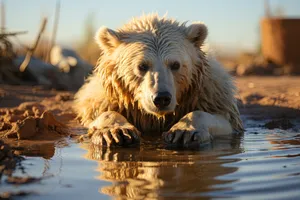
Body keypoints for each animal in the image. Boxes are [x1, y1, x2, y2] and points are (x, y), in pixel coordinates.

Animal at [74, 13, 244, 147]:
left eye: (175, 64)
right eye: (142, 65)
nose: (161, 98)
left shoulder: (209, 92)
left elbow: (224, 119)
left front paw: (183, 132)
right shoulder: (106, 97)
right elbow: (101, 113)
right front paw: (117, 132)